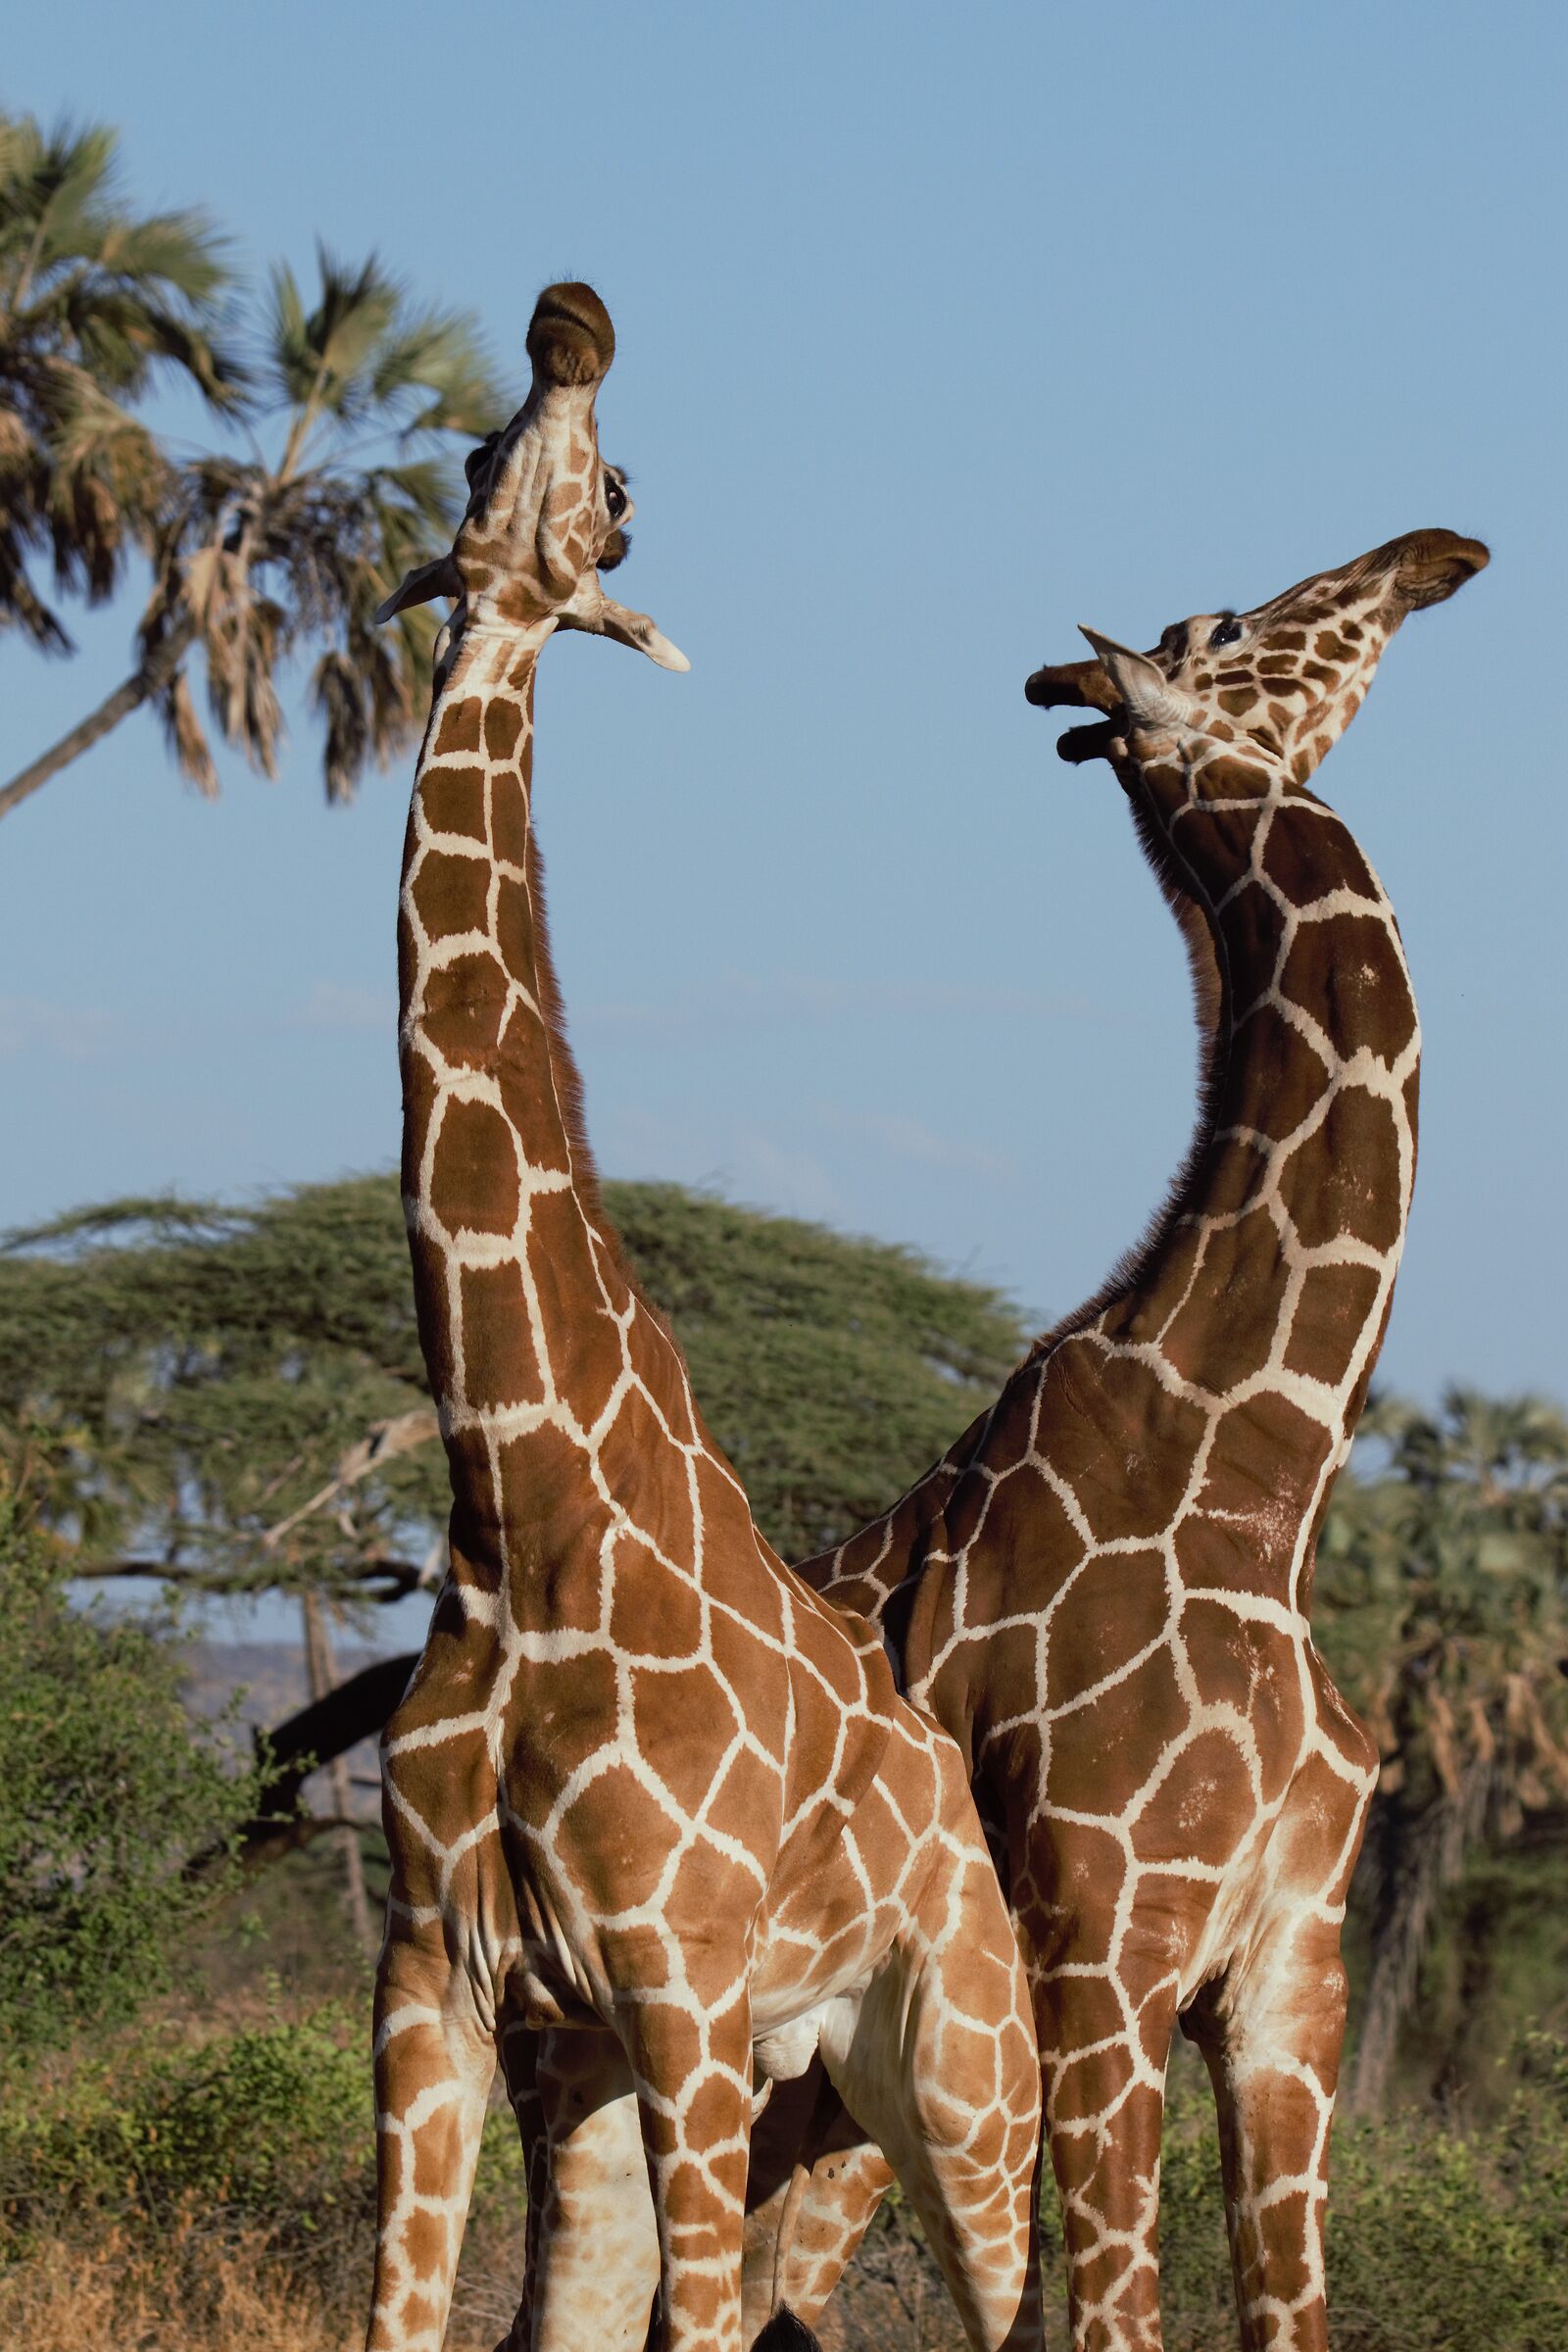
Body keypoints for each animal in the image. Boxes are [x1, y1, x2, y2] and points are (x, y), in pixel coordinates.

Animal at [363, 281, 1044, 2352]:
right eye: (476, 453)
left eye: (625, 504)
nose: (569, 325)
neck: (520, 1507)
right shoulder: (442, 1981)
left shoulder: (680, 1980)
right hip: (745, 2079)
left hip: (961, 2072)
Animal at [730, 527, 1489, 2352]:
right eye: (1224, 625)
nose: (1434, 555)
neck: (1260, 1465)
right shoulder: (1103, 1958)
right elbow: (1113, 2317)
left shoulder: (1292, 1975)